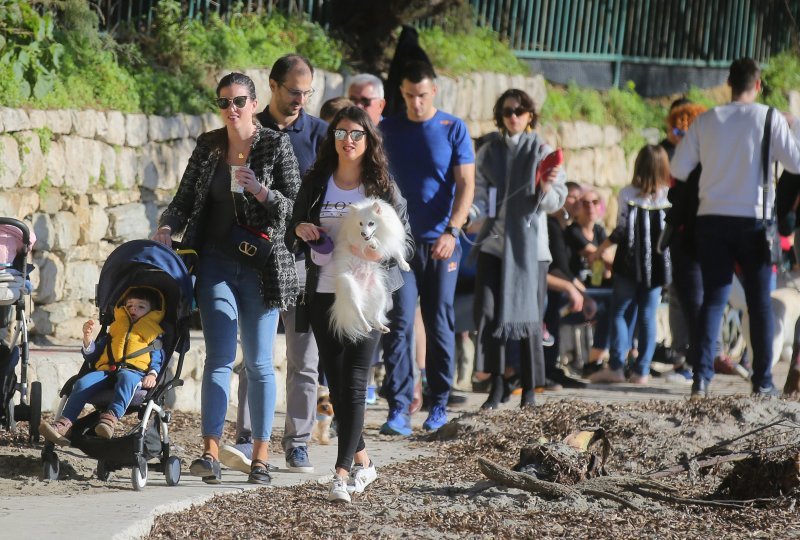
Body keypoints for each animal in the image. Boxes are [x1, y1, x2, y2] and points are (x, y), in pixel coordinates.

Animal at [328, 198, 410, 342]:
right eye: (360, 224)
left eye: (371, 223)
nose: (363, 233)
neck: (380, 232)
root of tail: (363, 292)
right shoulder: (355, 240)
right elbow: (369, 242)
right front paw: (372, 243)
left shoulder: (390, 243)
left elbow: (397, 253)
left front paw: (404, 265)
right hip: (349, 288)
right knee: (358, 311)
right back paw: (366, 326)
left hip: (380, 294)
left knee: (375, 315)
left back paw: (381, 326)